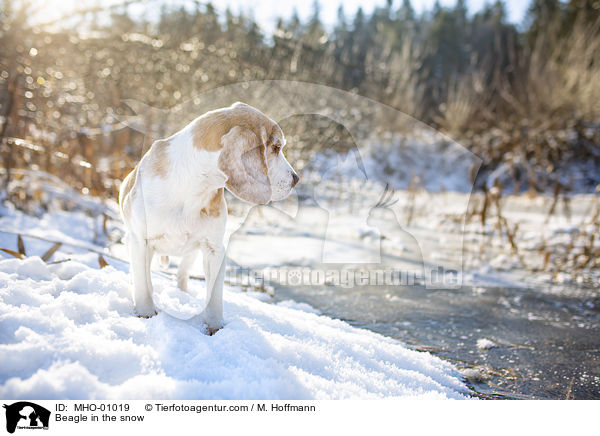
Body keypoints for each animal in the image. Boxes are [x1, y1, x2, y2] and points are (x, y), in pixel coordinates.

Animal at [118, 102, 298, 334]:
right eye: (276, 147)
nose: (296, 179)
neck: (191, 189)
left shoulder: (215, 250)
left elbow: (214, 298)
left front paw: (215, 328)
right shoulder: (140, 241)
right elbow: (142, 286)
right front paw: (145, 314)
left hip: (191, 254)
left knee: (182, 274)